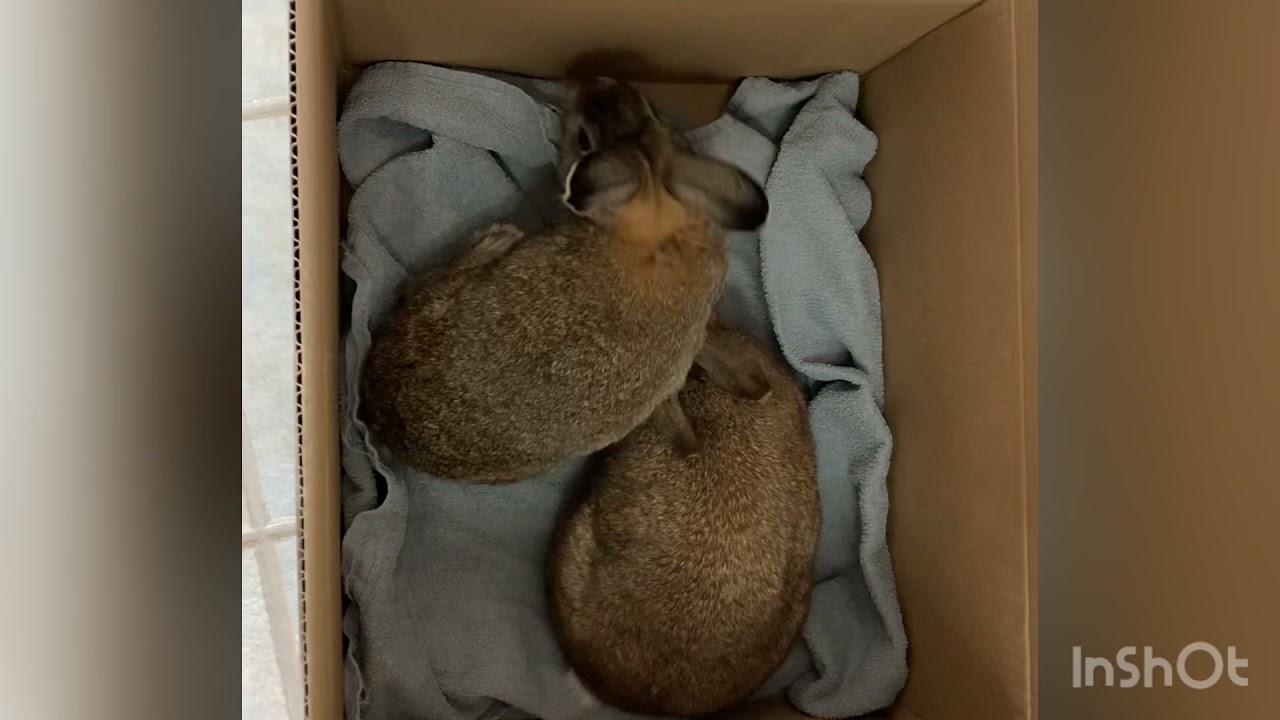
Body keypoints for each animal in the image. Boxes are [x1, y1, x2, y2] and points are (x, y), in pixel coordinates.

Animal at [359, 78, 769, 483]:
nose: (594, 81)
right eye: (653, 111)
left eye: (584, 140)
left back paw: (498, 237)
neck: (659, 234)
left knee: (415, 283)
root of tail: (376, 408)